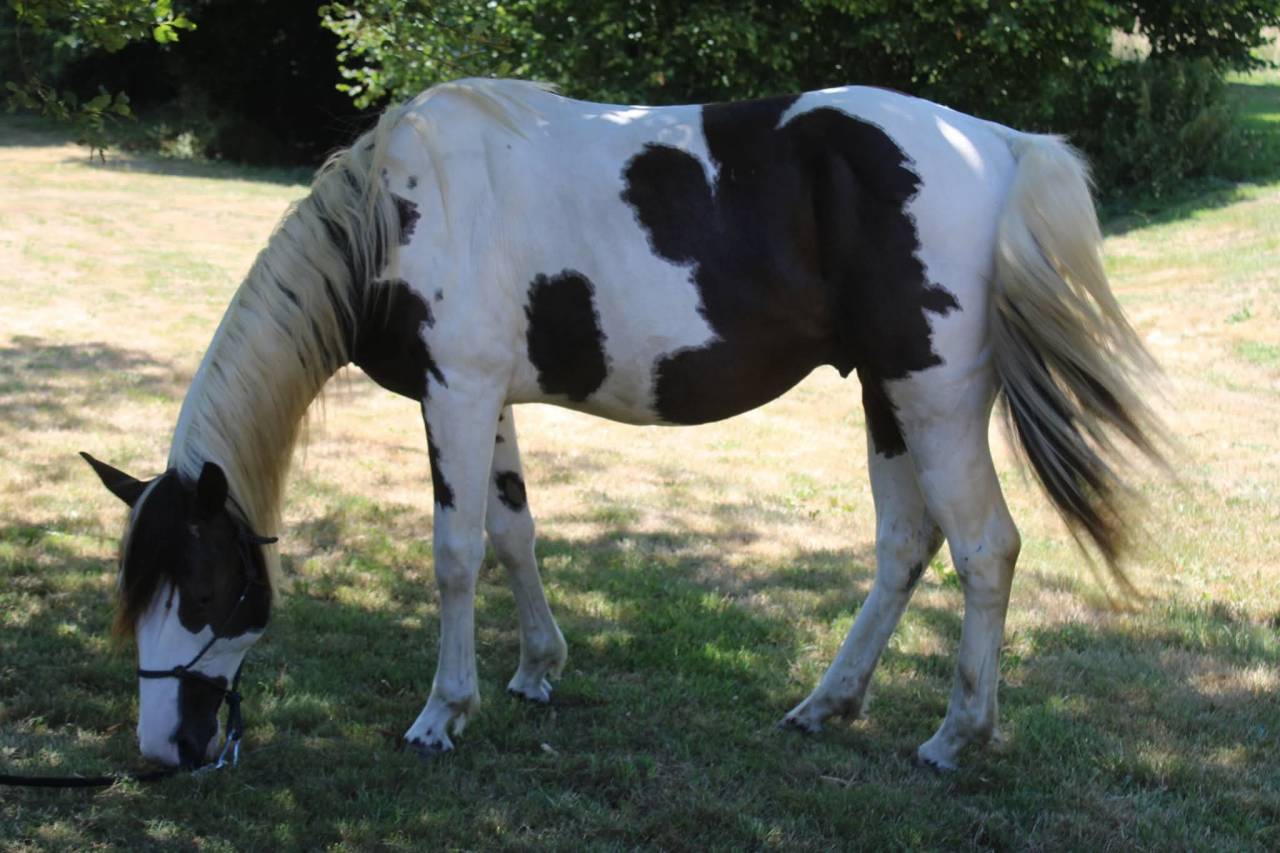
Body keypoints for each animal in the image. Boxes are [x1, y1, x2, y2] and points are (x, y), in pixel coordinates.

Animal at [81, 78, 1163, 771]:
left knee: (983, 549)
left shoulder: (455, 395)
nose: (163, 750)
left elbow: (455, 554)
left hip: (929, 397)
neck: (402, 211)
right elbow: (513, 532)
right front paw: (535, 672)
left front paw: (443, 713)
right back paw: (824, 704)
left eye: (208, 589)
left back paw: (952, 737)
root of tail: (998, 144)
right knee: (905, 543)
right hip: (884, 396)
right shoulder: (488, 402)